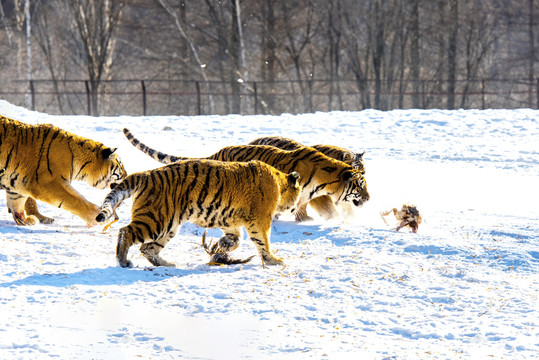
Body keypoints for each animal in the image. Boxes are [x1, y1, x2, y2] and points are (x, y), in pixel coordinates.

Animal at [95, 158, 302, 268]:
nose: (295, 208)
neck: (279, 181)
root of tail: (145, 174)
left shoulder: (229, 220)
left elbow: (236, 238)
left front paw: (224, 244)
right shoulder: (260, 219)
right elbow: (262, 240)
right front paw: (273, 260)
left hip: (169, 226)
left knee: (147, 248)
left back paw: (168, 264)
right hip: (155, 220)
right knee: (126, 232)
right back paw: (123, 261)